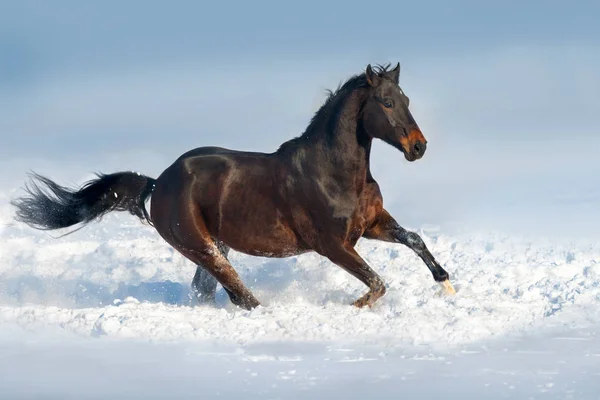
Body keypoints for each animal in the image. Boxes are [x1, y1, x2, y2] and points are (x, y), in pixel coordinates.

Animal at [10, 63, 454, 312]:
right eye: (386, 102)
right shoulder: (332, 244)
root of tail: (158, 182)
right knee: (239, 294)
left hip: (213, 246)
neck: (333, 173)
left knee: (209, 291)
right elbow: (377, 283)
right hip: (201, 246)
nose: (418, 147)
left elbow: (414, 239)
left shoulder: (371, 224)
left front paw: (446, 283)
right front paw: (355, 305)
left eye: (406, 99)